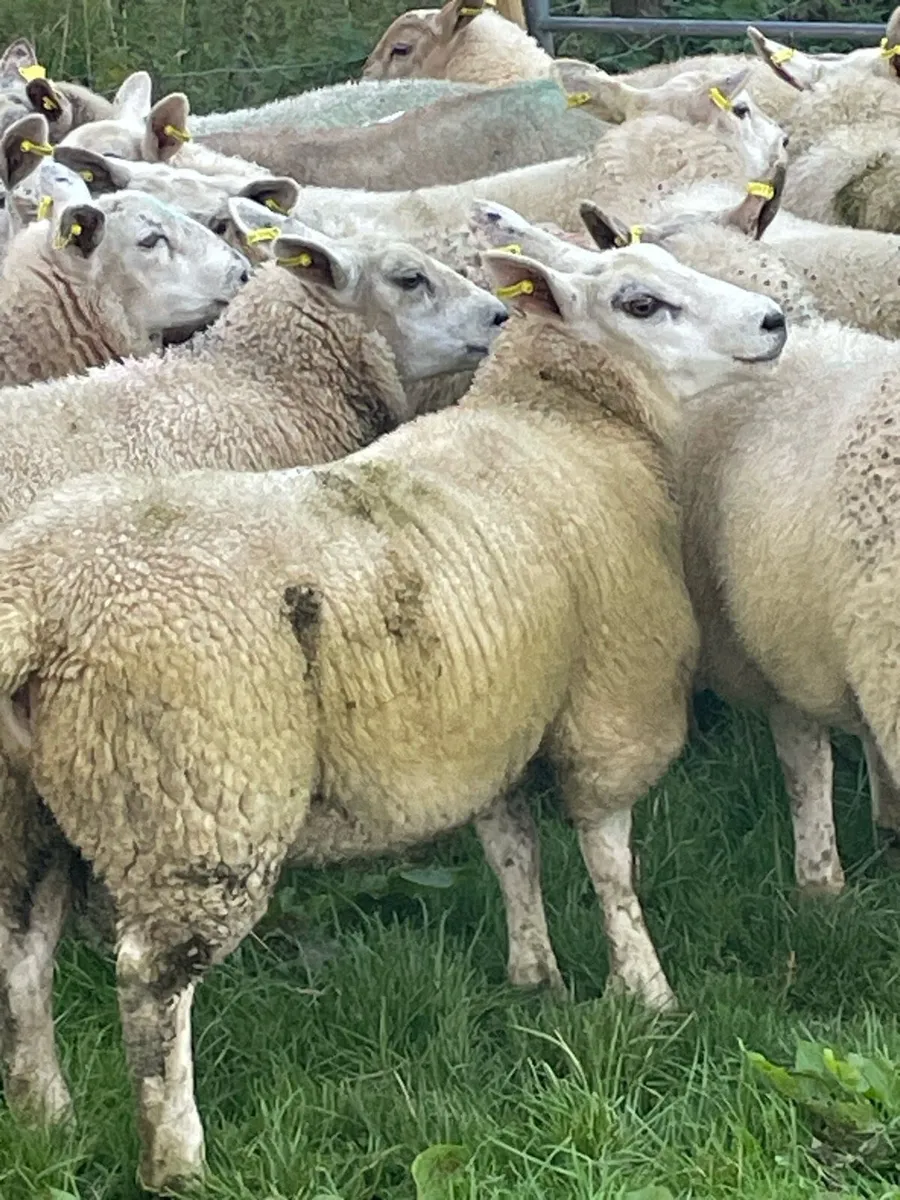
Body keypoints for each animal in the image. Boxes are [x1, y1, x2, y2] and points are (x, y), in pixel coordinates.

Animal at [0, 242, 787, 1190]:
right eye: (642, 302)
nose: (775, 322)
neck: (564, 422)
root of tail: (41, 603)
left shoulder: (492, 704)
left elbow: (511, 846)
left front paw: (536, 976)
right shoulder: (610, 694)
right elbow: (610, 864)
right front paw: (646, 994)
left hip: (32, 808)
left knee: (22, 953)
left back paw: (46, 1118)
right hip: (194, 799)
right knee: (153, 979)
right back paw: (177, 1159)